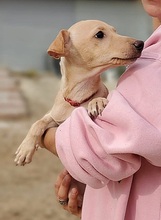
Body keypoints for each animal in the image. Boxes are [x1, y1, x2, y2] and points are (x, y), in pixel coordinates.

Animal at [14, 20, 144, 165]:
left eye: (115, 31)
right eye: (99, 34)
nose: (141, 43)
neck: (77, 96)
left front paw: (97, 101)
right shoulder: (56, 119)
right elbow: (38, 123)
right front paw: (25, 148)